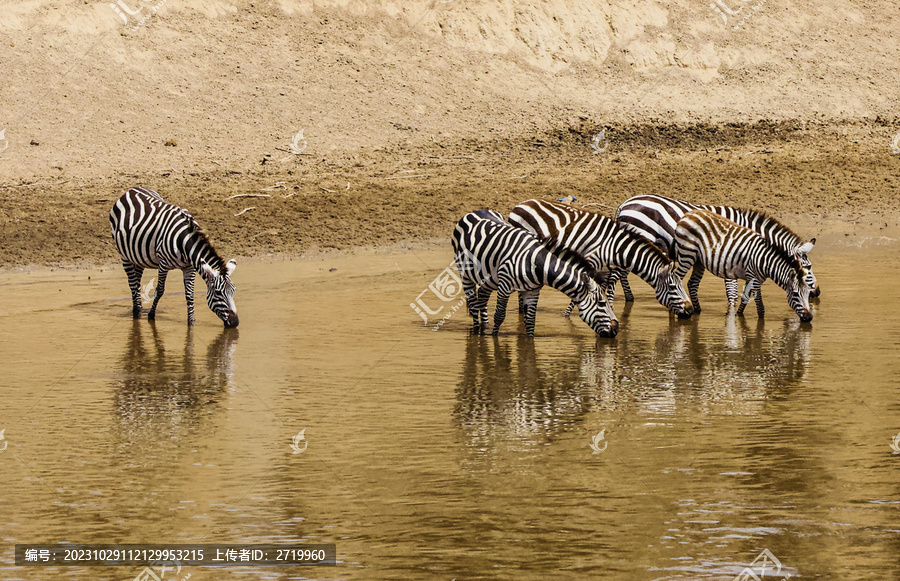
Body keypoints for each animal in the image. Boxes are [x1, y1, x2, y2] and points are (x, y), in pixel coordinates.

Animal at [109, 188, 239, 328]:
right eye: (218, 293)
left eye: (233, 291)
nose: (235, 322)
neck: (185, 243)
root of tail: (131, 190)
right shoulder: (163, 264)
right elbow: (160, 290)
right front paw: (151, 315)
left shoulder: (190, 268)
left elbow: (189, 294)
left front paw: (191, 321)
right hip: (124, 255)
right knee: (132, 283)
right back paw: (137, 311)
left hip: (139, 257)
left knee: (137, 281)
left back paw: (138, 308)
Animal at [450, 210, 620, 338]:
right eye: (602, 303)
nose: (616, 330)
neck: (535, 262)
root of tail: (474, 212)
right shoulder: (504, 285)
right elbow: (499, 315)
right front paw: (493, 338)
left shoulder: (532, 290)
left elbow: (531, 321)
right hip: (465, 274)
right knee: (473, 306)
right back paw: (477, 332)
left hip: (489, 278)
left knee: (482, 299)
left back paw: (483, 327)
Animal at [510, 198, 692, 318]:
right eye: (673, 287)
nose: (690, 311)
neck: (615, 248)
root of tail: (521, 204)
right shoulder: (592, 262)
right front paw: (567, 315)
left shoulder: (605, 269)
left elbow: (604, 288)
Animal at [616, 195, 820, 304]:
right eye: (807, 269)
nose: (817, 292)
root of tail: (624, 204)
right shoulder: (731, 255)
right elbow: (732, 290)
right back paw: (630, 297)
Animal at [672, 208, 812, 322]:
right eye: (795, 294)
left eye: (807, 293)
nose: (809, 318)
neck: (765, 260)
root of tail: (688, 214)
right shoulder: (754, 278)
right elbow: (760, 307)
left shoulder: (753, 278)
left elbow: (745, 298)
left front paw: (738, 315)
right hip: (687, 255)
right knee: (676, 278)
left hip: (699, 261)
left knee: (692, 284)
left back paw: (698, 311)